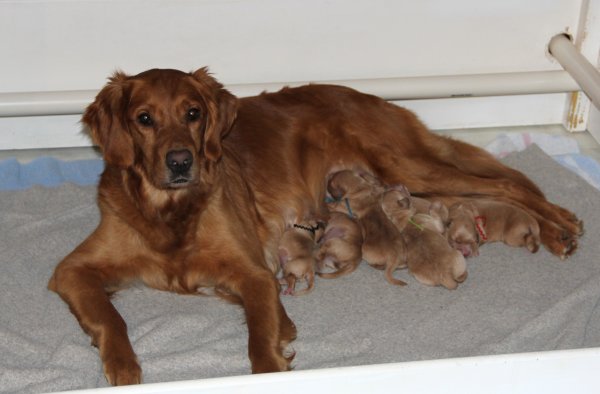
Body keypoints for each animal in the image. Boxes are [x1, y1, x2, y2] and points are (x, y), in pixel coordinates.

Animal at [47, 67, 580, 384]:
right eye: (144, 119)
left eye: (193, 113)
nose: (180, 162)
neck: (170, 211)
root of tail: (367, 95)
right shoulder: (71, 271)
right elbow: (110, 318)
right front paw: (123, 369)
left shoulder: (254, 274)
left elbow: (260, 343)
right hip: (417, 186)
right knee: (487, 192)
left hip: (407, 168)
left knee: (507, 185)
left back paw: (561, 225)